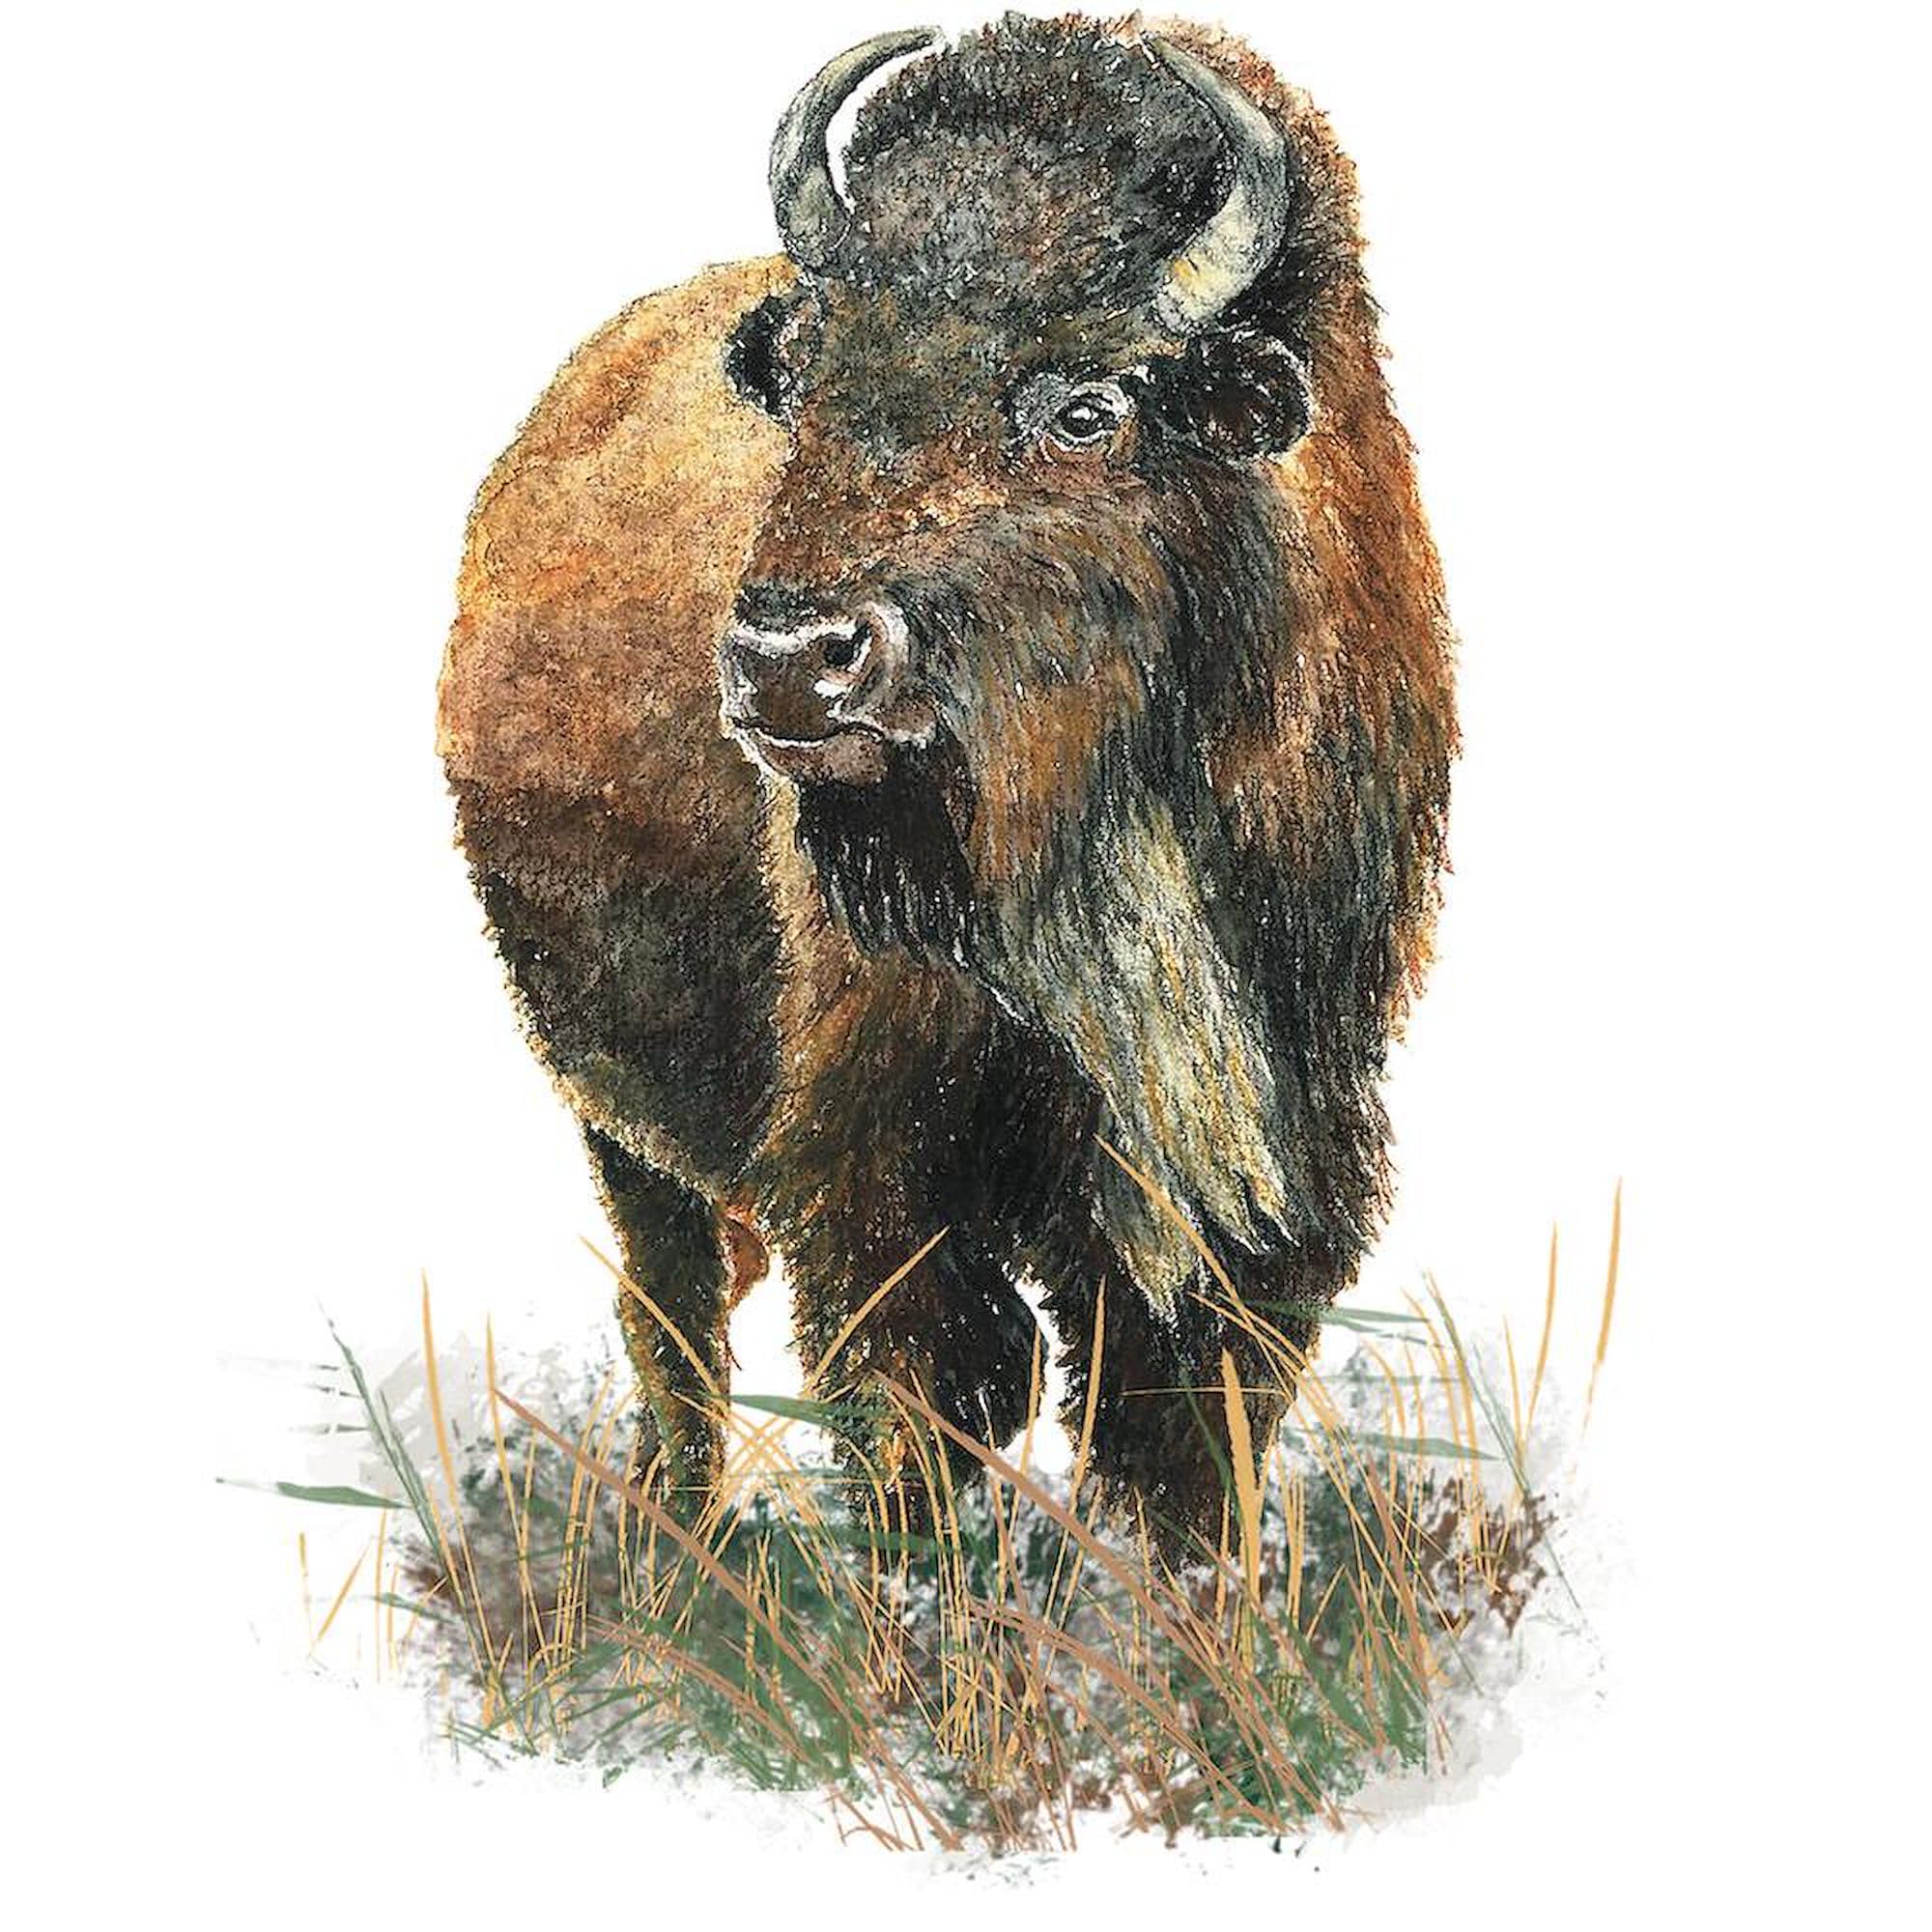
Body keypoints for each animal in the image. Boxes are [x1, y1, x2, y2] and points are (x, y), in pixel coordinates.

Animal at [437, 13, 1456, 1545]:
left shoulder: (1279, 1167)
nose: (792, 662)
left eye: (1086, 408)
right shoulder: (880, 1176)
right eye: (810, 375)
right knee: (674, 1321)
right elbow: (927, 1413)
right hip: (616, 1112)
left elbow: (1177, 1445)